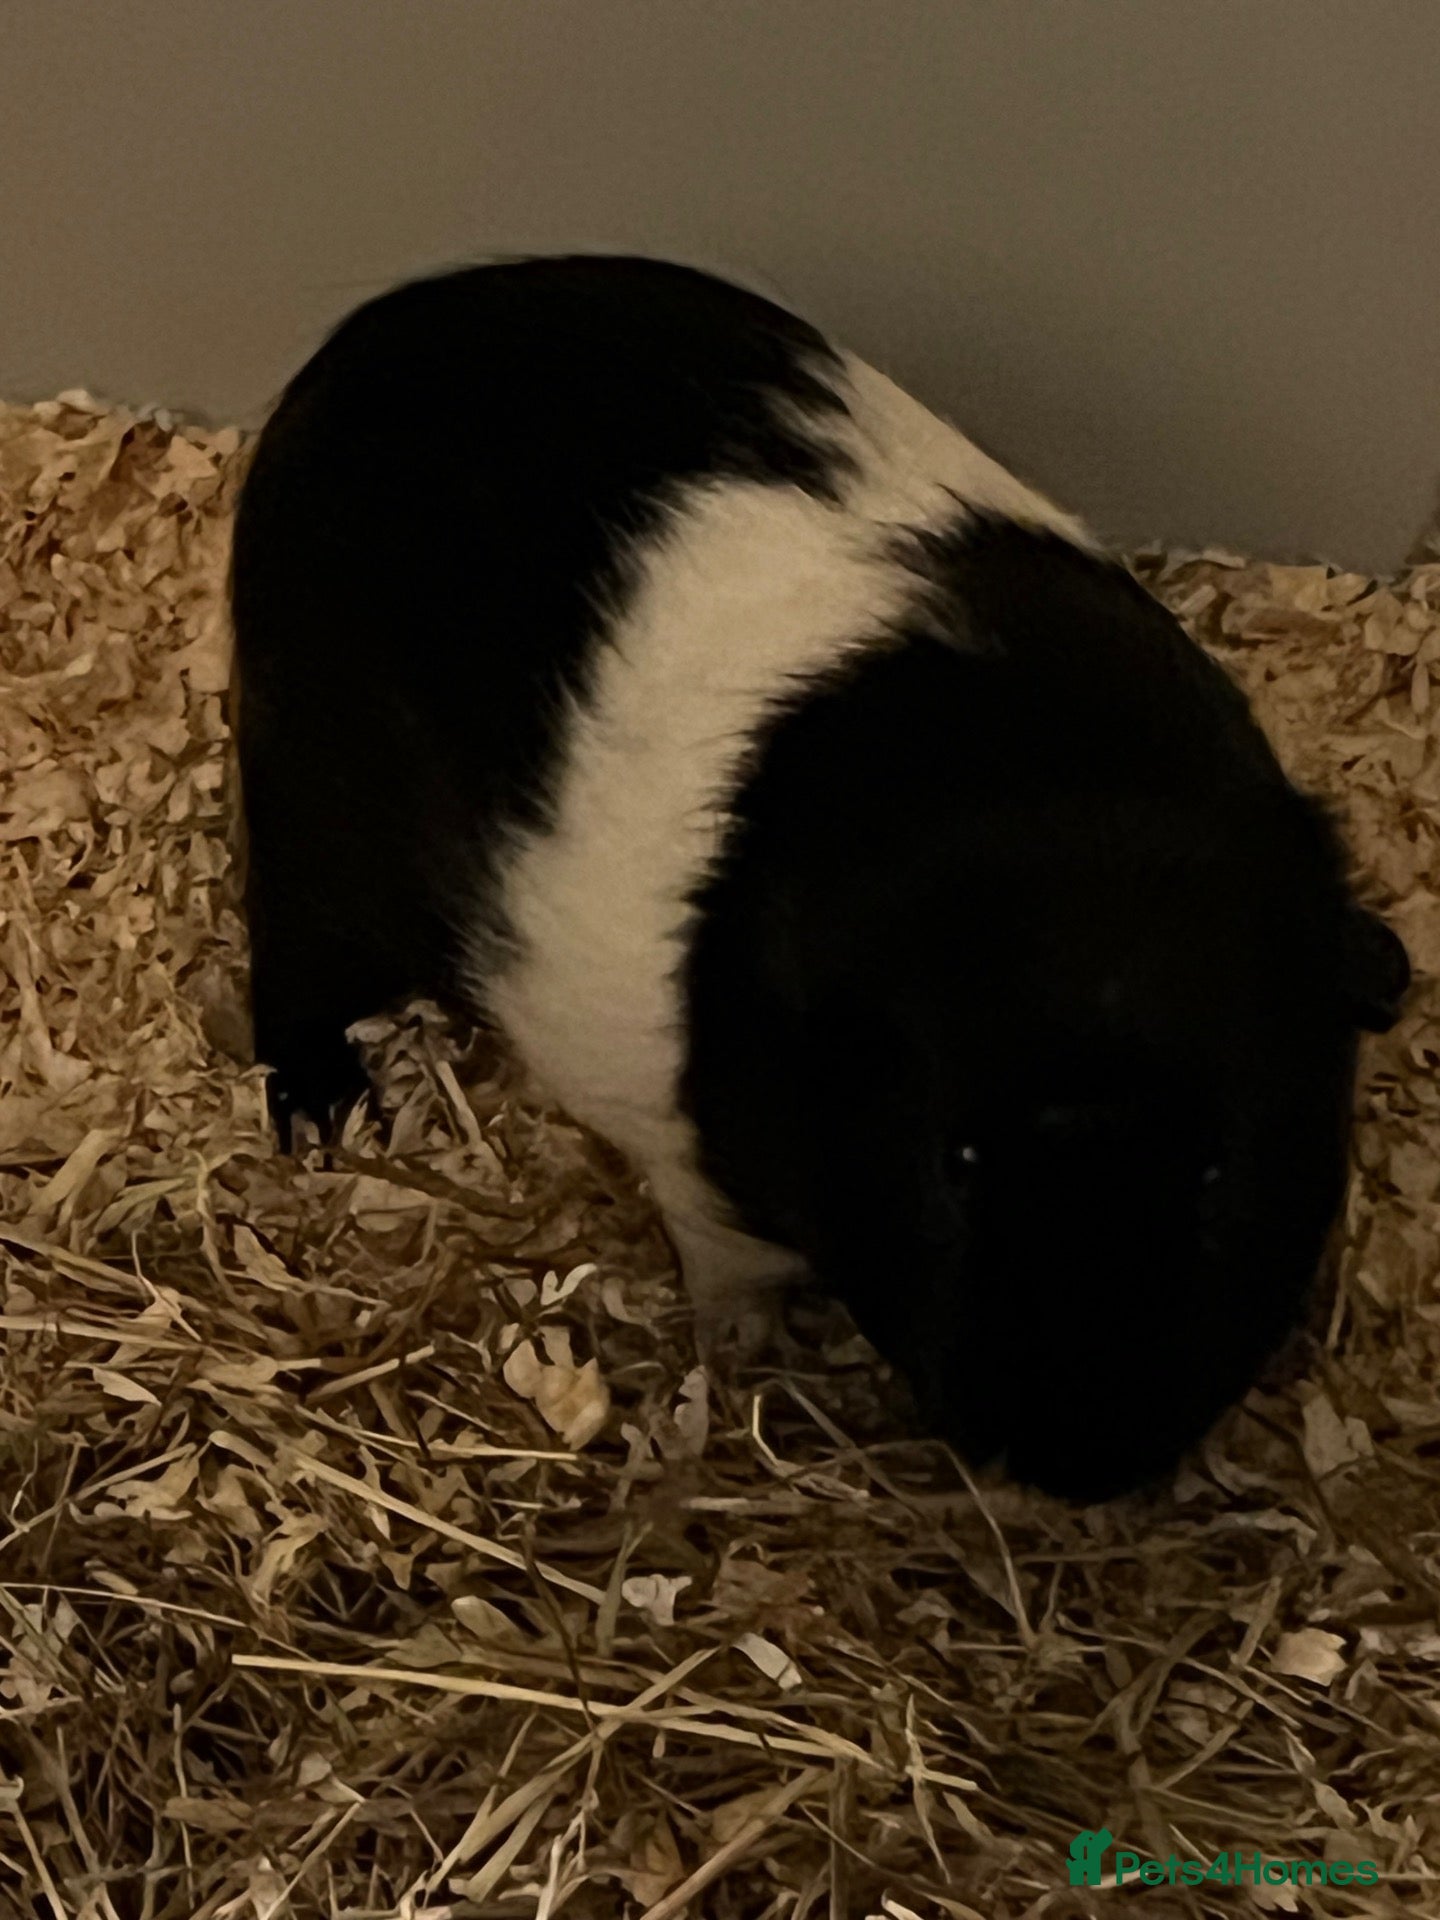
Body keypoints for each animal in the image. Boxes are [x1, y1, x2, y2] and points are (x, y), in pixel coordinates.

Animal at [229, 253, 1410, 1501]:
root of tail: (346, 356)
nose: (1075, 1467)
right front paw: (741, 1355)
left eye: (1220, 1171)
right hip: (315, 829)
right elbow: (725, 1257)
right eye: (956, 1161)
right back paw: (331, 1118)